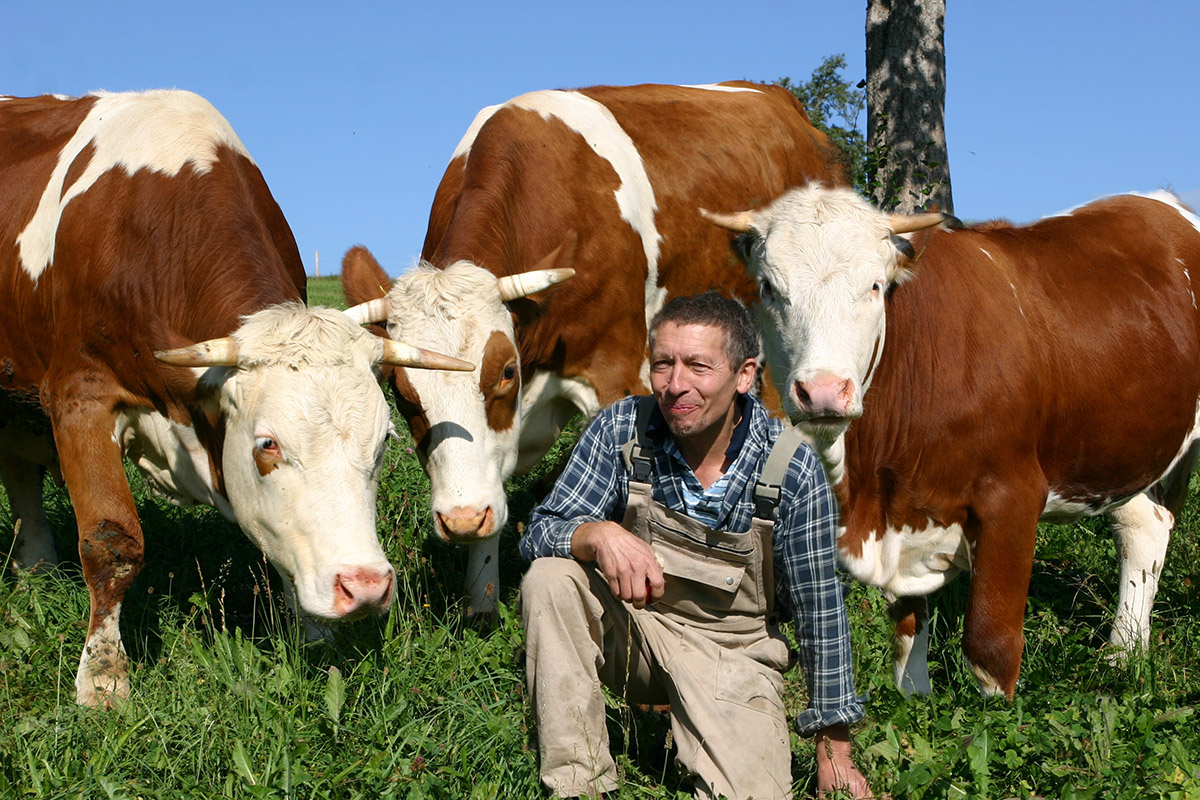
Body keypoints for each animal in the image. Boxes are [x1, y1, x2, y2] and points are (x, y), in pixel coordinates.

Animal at [0, 89, 470, 706]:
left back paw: (35, 566)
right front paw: (102, 677)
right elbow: (112, 542)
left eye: (384, 443)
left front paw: (316, 637)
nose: (365, 586)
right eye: (267, 445)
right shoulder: (80, 397)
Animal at [341, 81, 850, 615]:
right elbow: (495, 478)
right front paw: (481, 599)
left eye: (505, 371)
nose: (460, 519)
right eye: (402, 394)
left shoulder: (620, 373)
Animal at [701, 183, 1200, 698]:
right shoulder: (899, 508)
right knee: (1143, 529)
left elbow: (989, 641)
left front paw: (996, 709)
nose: (822, 391)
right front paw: (914, 694)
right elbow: (907, 624)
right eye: (769, 288)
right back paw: (1123, 656)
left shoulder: (1013, 495)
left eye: (874, 287)